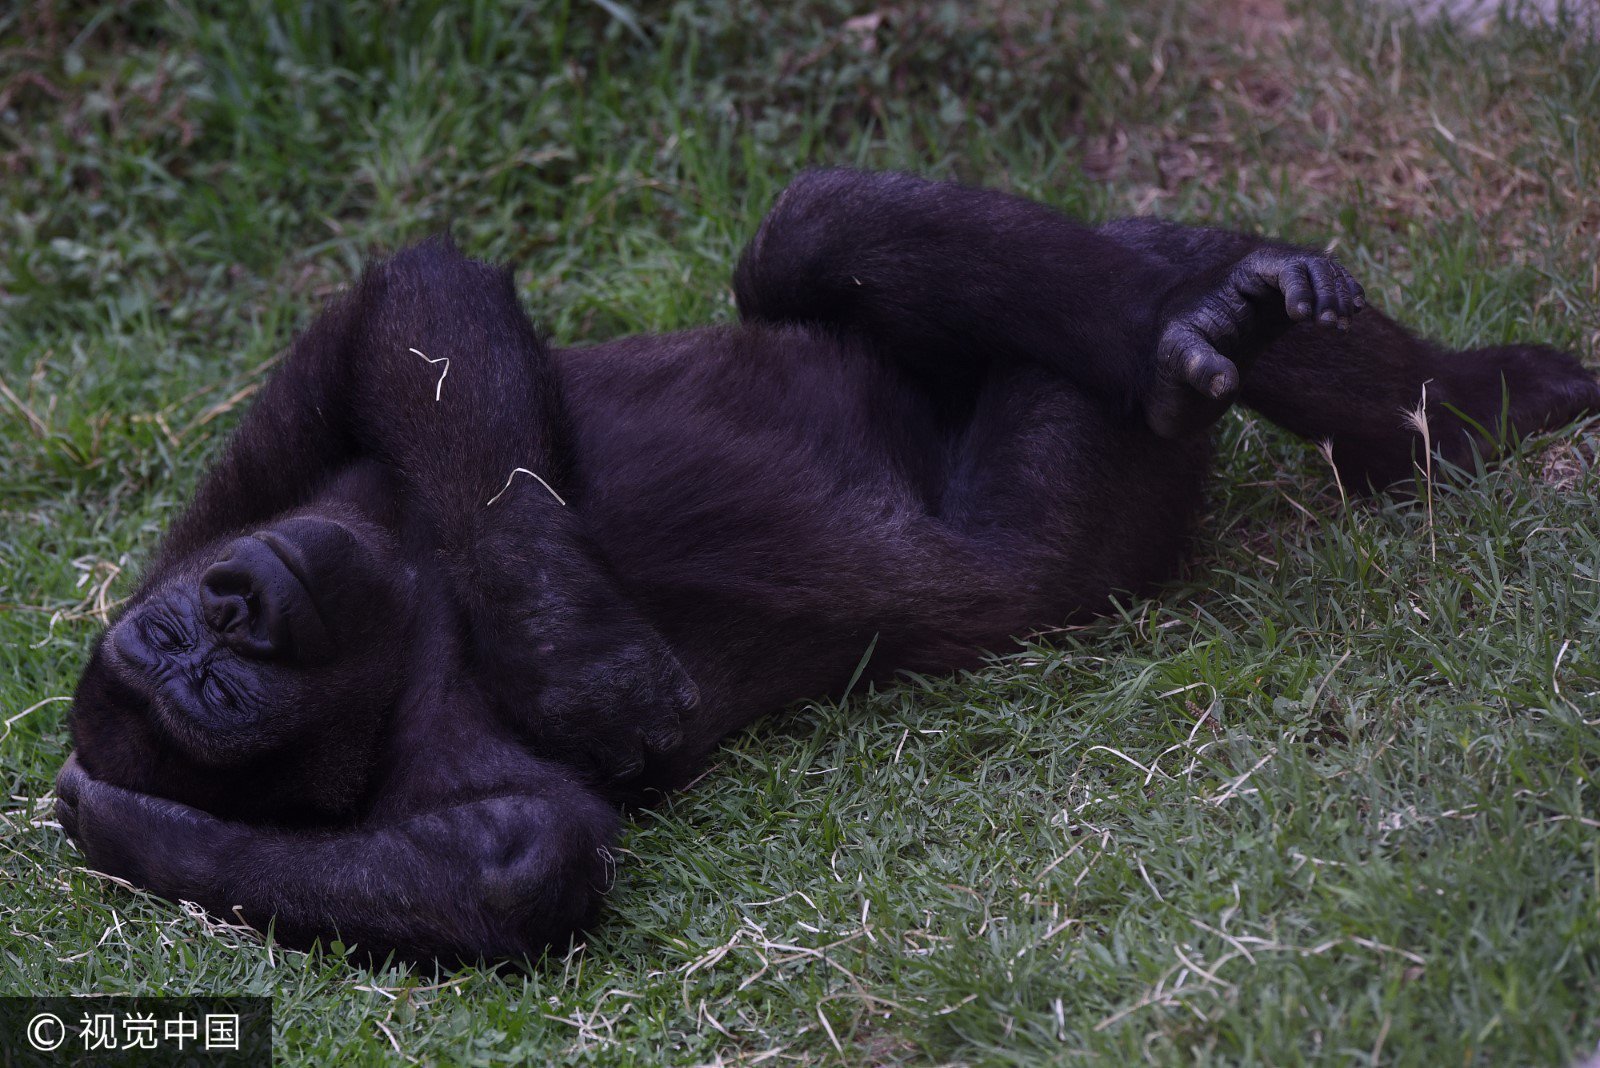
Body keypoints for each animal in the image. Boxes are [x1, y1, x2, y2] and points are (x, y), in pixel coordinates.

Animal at [50, 171, 1600, 965]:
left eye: (195, 631)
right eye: (210, 696)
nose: (231, 625)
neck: (402, 607)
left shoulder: (246, 488)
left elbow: (405, 314)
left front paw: (564, 637)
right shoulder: (422, 760)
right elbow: (514, 861)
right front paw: (131, 832)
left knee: (825, 228)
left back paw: (1397, 367)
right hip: (1083, 492)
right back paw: (1256, 360)